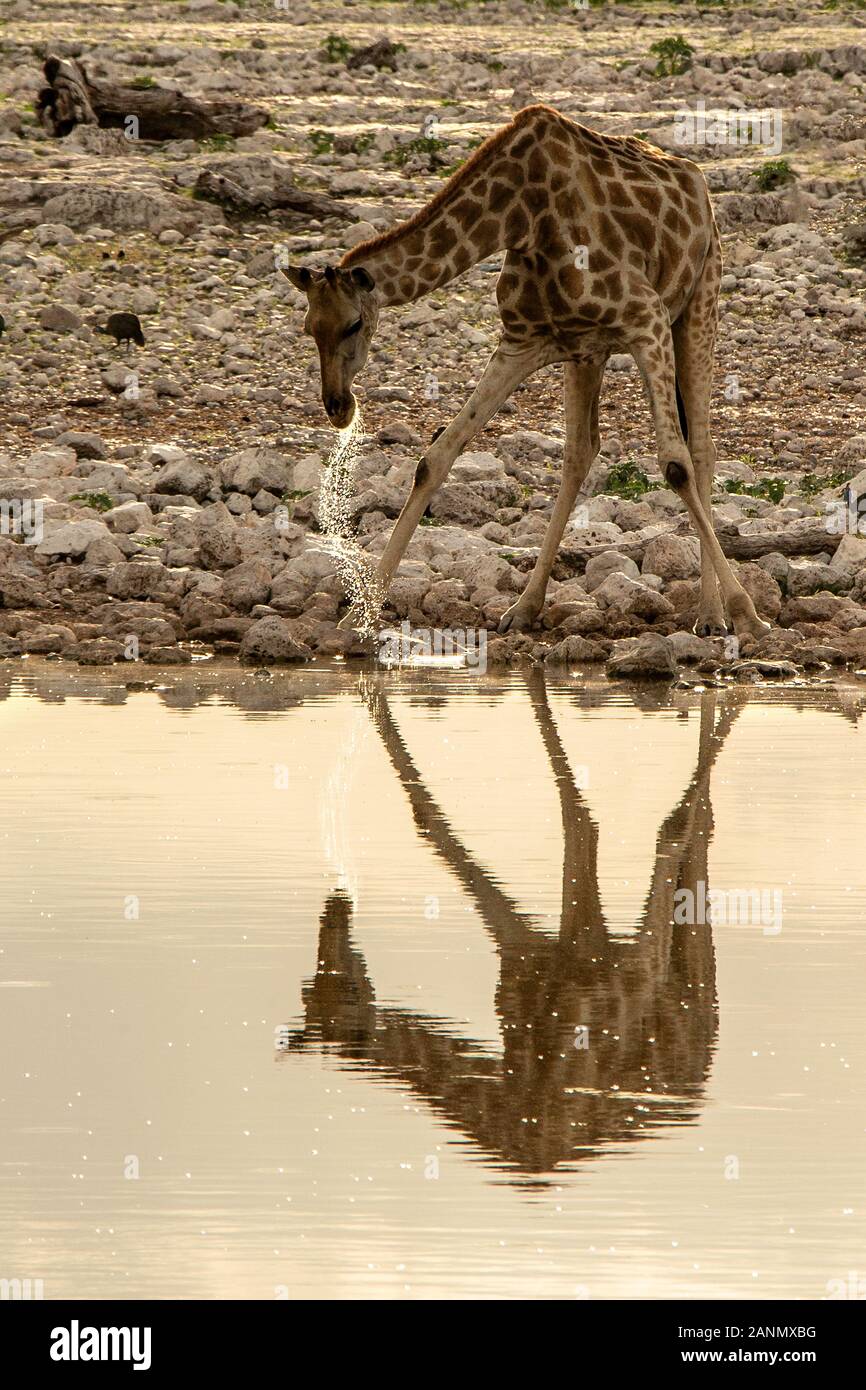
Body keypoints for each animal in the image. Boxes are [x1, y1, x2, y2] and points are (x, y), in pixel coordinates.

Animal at [289, 107, 772, 639]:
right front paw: (358, 614)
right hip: (589, 353)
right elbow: (435, 458)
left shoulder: (645, 319)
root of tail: (697, 184)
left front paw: (748, 612)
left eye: (354, 323)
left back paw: (712, 614)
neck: (520, 217)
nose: (338, 406)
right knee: (582, 451)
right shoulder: (524, 342)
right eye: (309, 328)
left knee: (700, 448)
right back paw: (526, 605)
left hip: (699, 301)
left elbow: (675, 464)